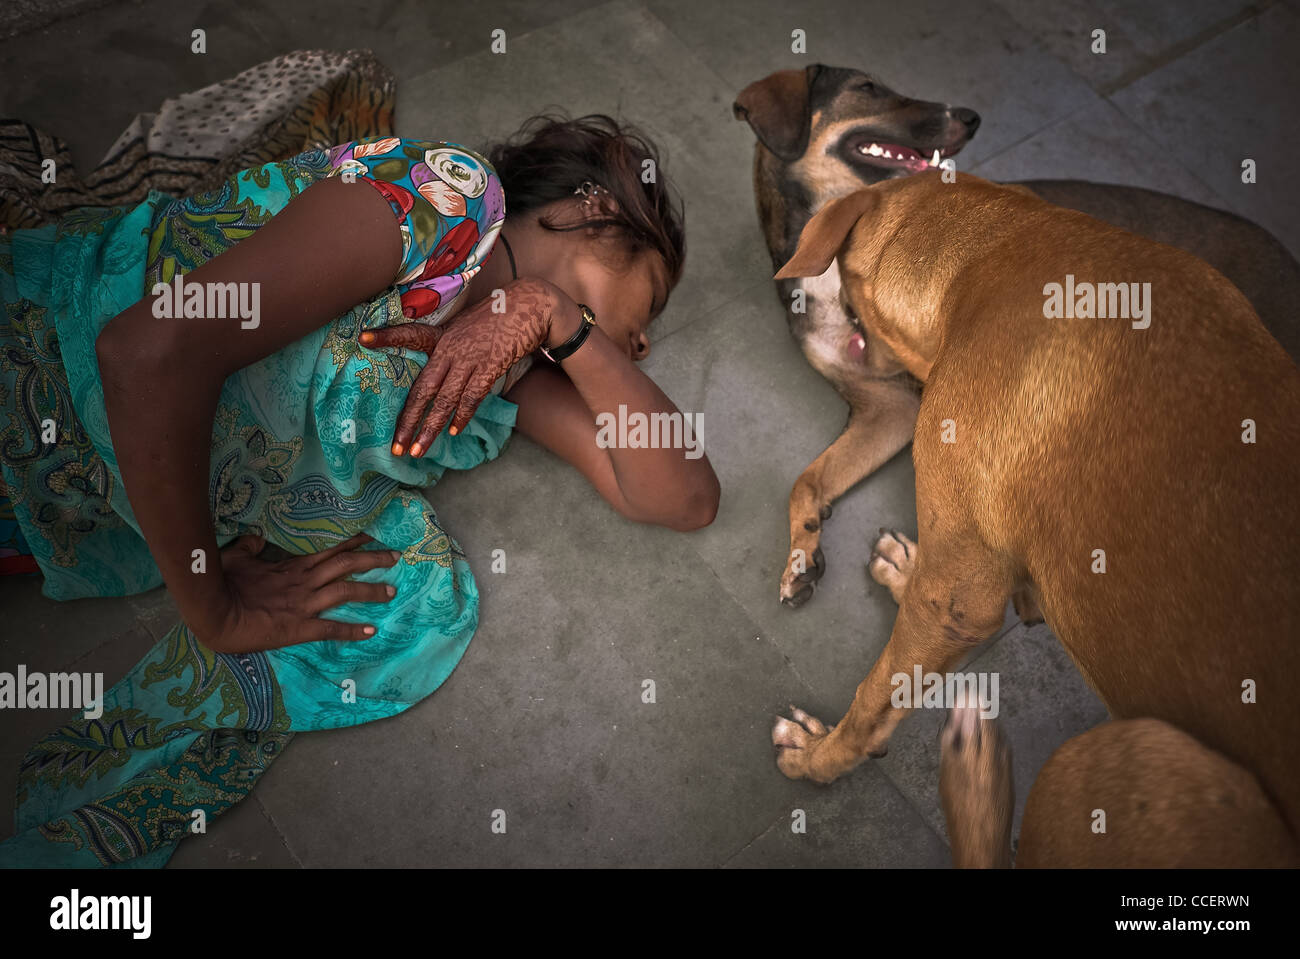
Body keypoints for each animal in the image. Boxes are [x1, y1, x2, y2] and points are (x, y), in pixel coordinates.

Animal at [764, 171, 1300, 868]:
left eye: (853, 310)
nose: (852, 361)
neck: (989, 259)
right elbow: (809, 484)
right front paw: (821, 559)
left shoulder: (951, 603)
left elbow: (873, 698)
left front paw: (816, 758)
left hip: (1131, 751)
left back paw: (974, 779)